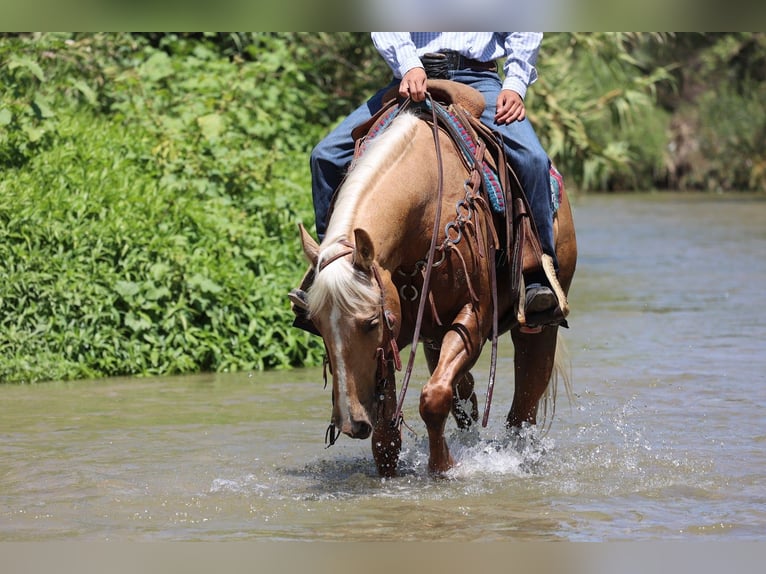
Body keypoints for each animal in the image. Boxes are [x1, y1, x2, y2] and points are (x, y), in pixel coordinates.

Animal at [297, 83, 577, 477]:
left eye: (370, 323)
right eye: (319, 326)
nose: (351, 423)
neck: (426, 207)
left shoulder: (472, 318)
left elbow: (433, 398)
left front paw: (442, 466)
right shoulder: (399, 333)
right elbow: (387, 433)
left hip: (538, 326)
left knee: (525, 401)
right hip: (431, 337)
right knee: (467, 395)